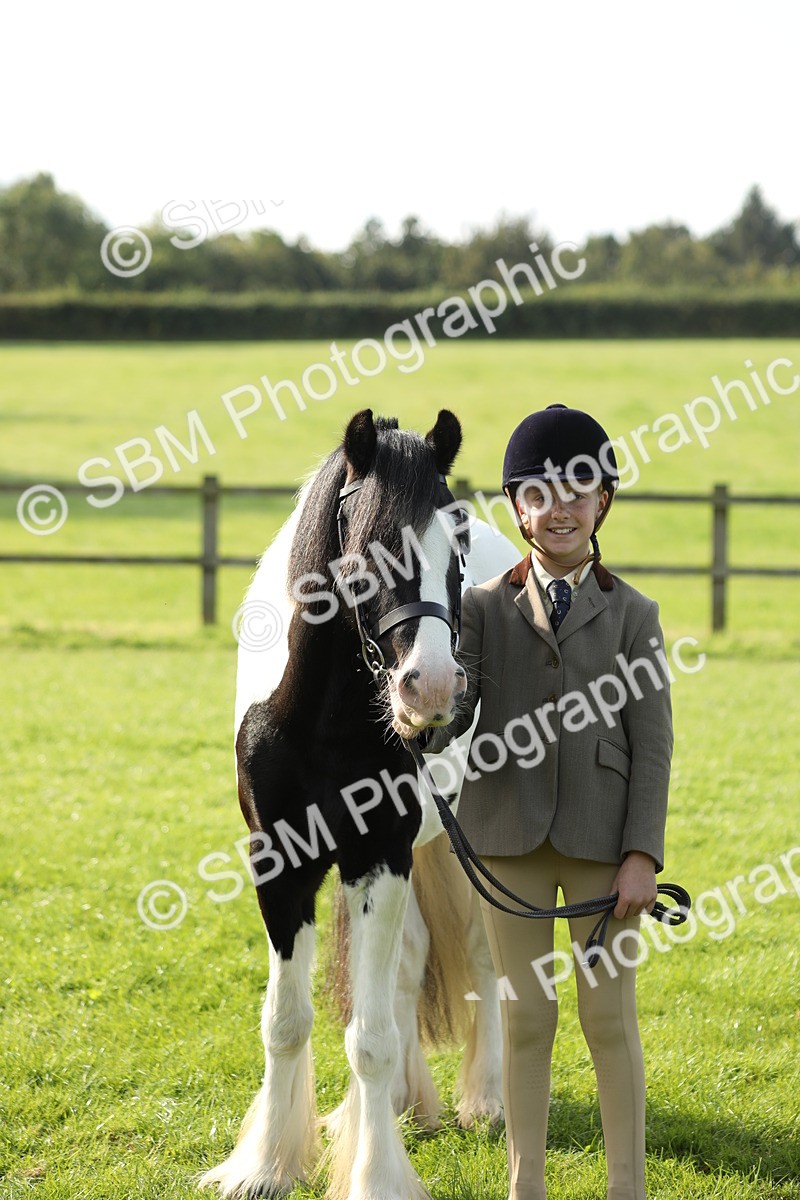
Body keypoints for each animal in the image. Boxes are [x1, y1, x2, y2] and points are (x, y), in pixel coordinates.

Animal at [201, 409, 520, 1200]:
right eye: (363, 555)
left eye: (454, 546)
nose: (432, 688)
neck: (320, 716)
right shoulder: (283, 862)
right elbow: (287, 1020)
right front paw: (268, 1166)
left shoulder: (379, 856)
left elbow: (369, 1038)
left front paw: (375, 1178)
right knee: (405, 969)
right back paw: (403, 1104)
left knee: (482, 960)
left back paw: (488, 1100)